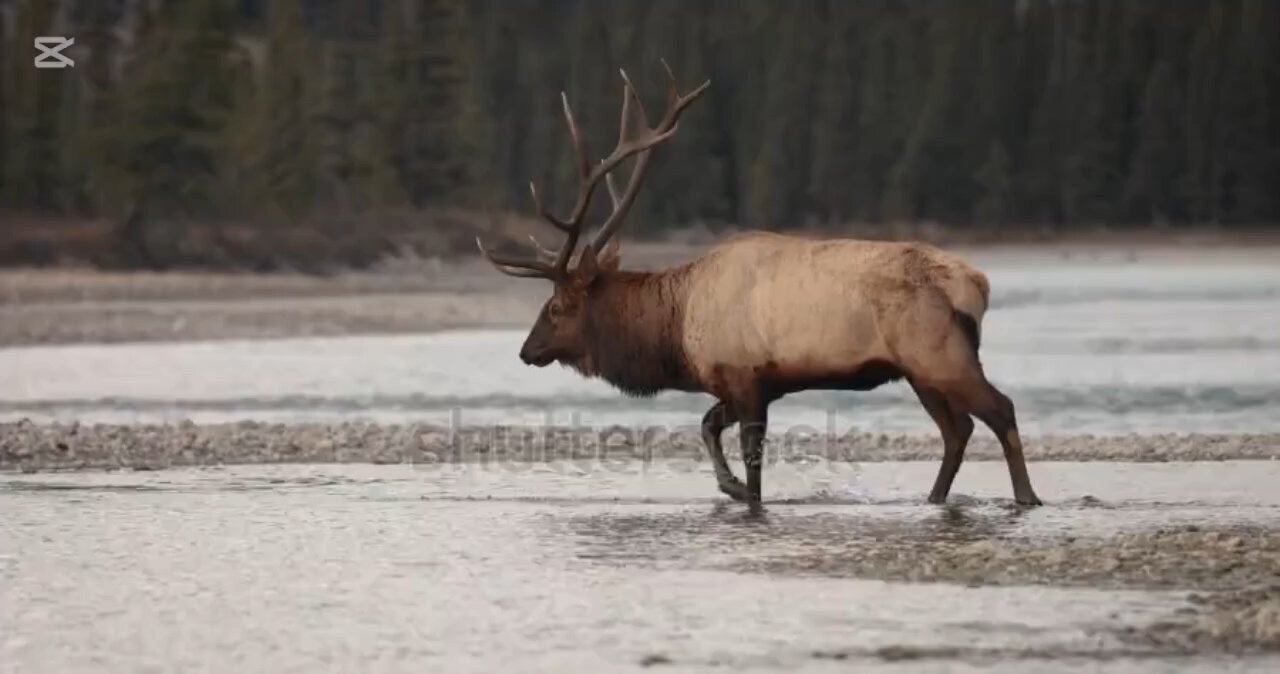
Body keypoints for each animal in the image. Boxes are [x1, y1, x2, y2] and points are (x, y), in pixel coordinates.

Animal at [478, 62, 1039, 506]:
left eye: (555, 306)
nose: (527, 350)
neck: (674, 331)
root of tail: (978, 284)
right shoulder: (747, 384)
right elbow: (708, 425)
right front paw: (728, 487)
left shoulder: (746, 378)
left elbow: (750, 456)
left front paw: (743, 494)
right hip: (919, 370)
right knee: (957, 429)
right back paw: (935, 499)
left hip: (938, 353)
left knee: (998, 409)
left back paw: (1026, 499)